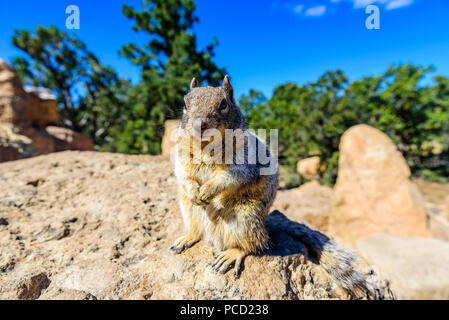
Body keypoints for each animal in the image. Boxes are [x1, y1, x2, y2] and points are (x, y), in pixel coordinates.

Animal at [168, 76, 368, 296]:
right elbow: (183, 174)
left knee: (253, 244)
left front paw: (209, 190)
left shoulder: (245, 161)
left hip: (243, 217)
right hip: (189, 210)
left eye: (223, 104)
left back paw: (231, 254)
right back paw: (187, 238)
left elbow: (231, 177)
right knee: (199, 231)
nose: (199, 125)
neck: (206, 146)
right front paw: (195, 191)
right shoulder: (182, 156)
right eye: (185, 103)